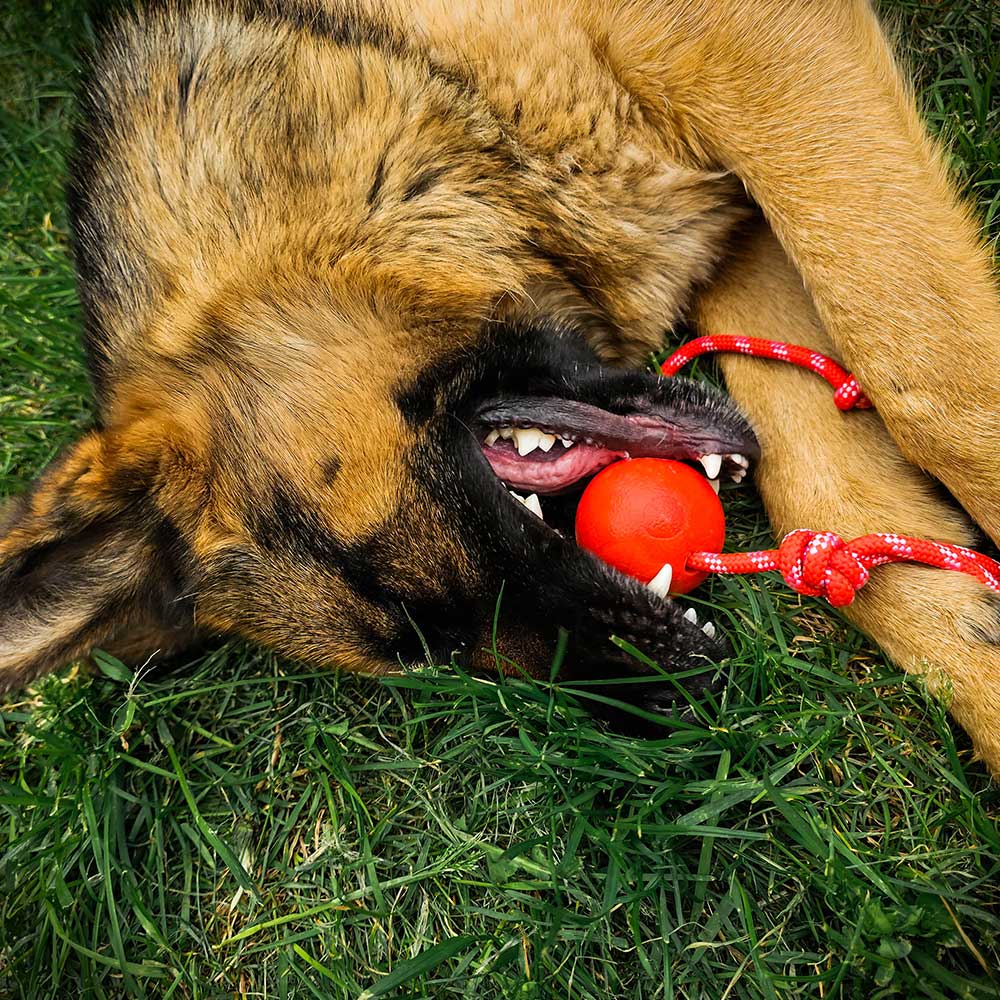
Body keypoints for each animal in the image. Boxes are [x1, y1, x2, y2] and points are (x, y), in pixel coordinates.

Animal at [1, 0, 1000, 768]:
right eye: (437, 653)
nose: (670, 693)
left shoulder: (744, 57)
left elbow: (930, 380)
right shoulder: (732, 224)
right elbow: (828, 482)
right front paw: (971, 648)